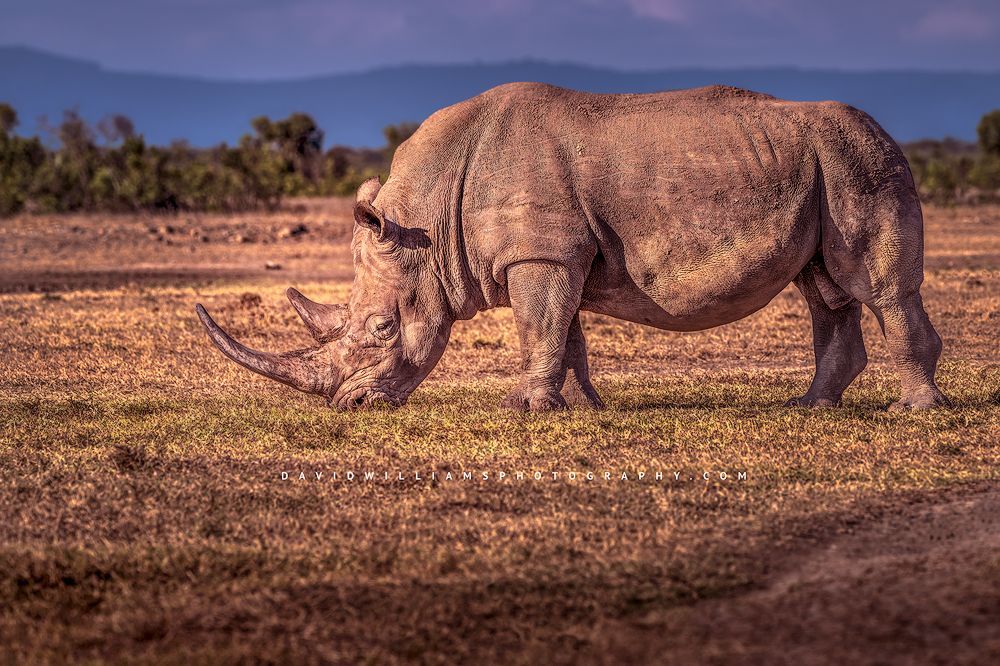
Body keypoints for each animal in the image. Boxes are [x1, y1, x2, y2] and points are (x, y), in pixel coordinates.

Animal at [196, 83, 949, 412]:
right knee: (825, 289)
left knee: (879, 287)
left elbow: (540, 329)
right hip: (823, 165)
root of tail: (886, 133)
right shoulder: (556, 253)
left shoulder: (543, 255)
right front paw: (582, 408)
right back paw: (811, 407)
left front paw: (525, 410)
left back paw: (913, 410)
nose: (348, 406)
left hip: (861, 158)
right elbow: (564, 334)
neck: (428, 220)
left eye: (382, 328)